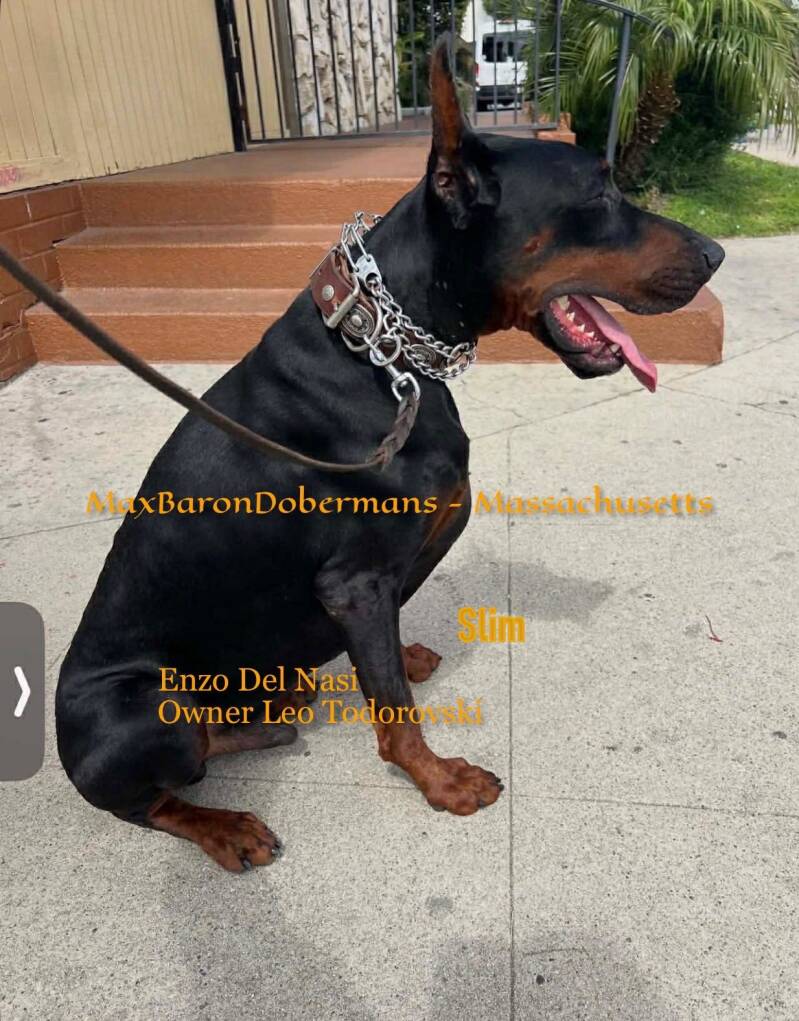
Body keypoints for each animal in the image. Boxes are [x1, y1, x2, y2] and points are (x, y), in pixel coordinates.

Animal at [56, 39, 724, 872]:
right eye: (598, 194)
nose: (717, 252)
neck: (385, 355)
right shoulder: (353, 583)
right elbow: (395, 714)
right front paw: (440, 781)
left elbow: (386, 667)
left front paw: (401, 660)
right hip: (144, 707)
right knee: (152, 798)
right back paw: (227, 822)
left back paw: (269, 712)